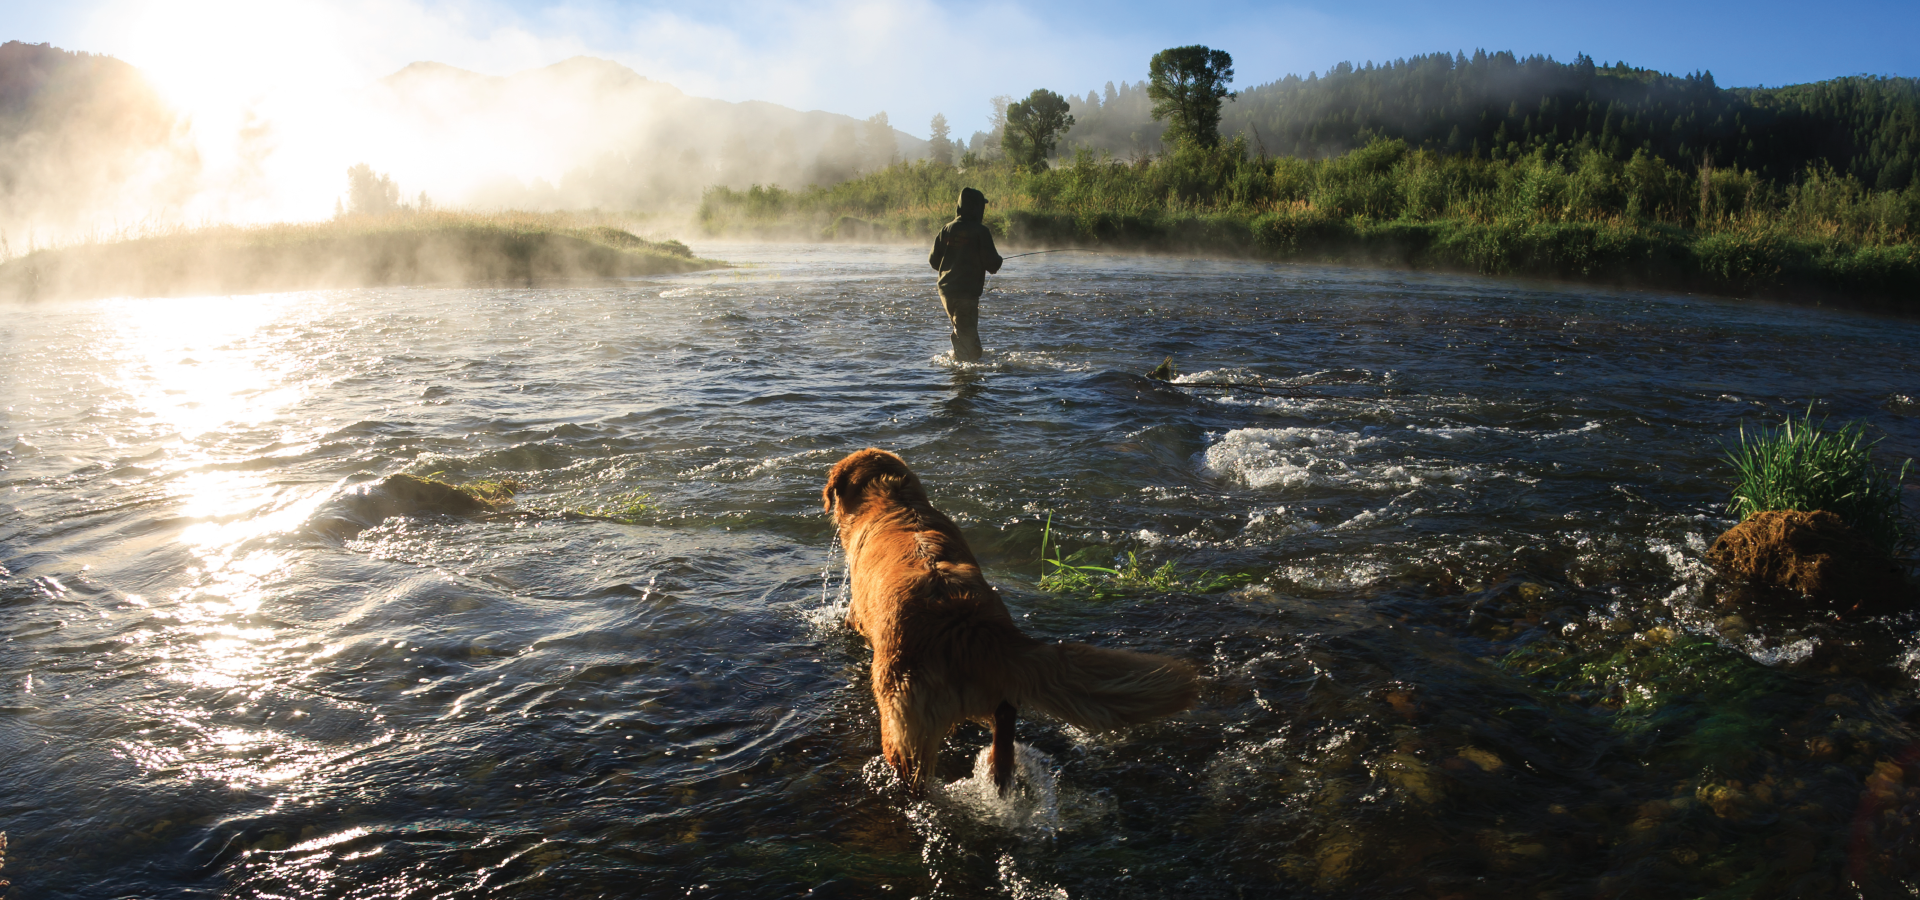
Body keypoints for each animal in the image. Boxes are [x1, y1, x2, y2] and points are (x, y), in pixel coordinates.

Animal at [825, 447, 1198, 794]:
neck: (893, 500)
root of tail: (965, 625)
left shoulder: (859, 611)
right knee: (1005, 717)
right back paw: (1000, 775)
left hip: (901, 718)